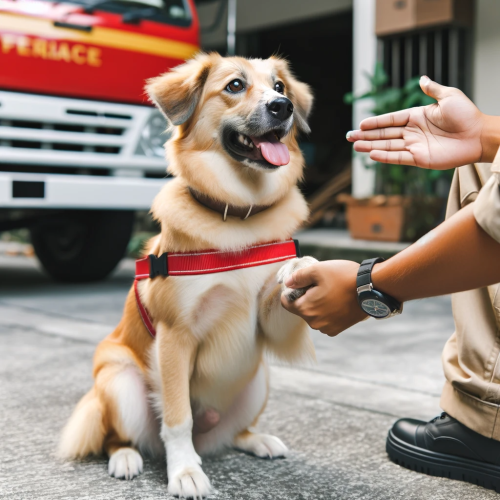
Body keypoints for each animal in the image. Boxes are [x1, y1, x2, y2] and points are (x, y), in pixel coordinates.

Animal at [57, 52, 316, 498]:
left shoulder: (268, 326)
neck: (237, 218)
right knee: (117, 435)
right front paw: (184, 472)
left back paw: (257, 440)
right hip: (119, 379)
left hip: (258, 379)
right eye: (234, 86)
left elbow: (282, 286)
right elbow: (178, 419)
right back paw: (126, 457)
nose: (282, 108)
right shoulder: (175, 337)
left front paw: (300, 266)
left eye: (280, 87)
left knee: (233, 434)